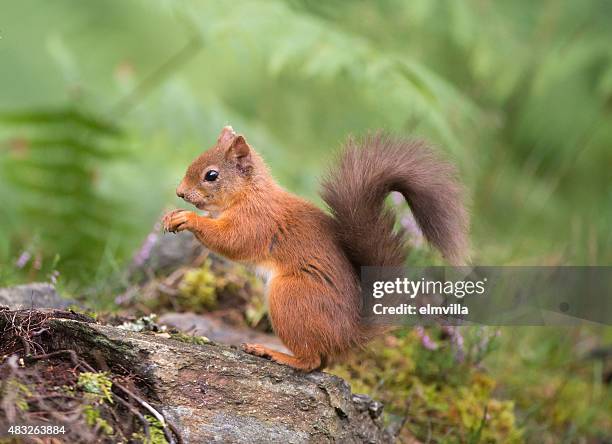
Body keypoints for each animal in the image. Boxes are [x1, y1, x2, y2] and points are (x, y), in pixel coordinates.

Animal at [163, 125, 468, 372]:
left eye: (211, 175)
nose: (180, 192)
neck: (249, 194)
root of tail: (349, 335)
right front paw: (171, 215)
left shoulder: (257, 221)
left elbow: (231, 240)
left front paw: (188, 218)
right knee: (322, 362)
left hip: (290, 297)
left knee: (311, 361)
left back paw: (273, 353)